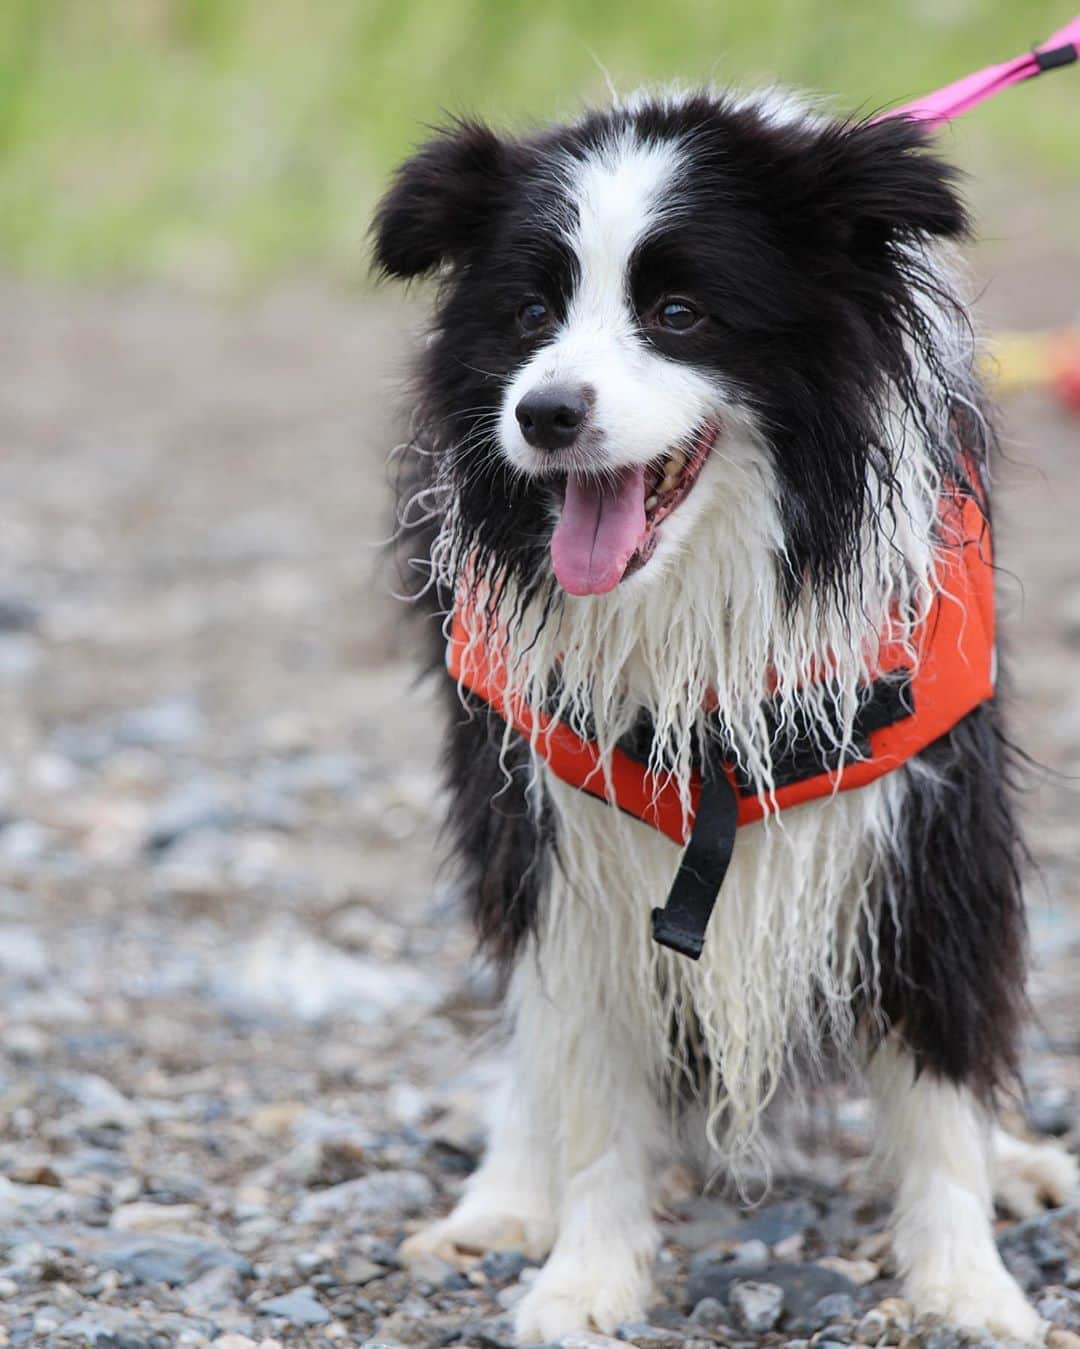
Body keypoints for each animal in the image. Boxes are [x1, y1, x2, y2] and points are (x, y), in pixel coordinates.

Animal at [369, 89, 1067, 1343]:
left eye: (679, 312)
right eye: (532, 312)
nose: (544, 412)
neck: (704, 596)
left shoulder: (929, 812)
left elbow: (940, 1078)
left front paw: (968, 1283)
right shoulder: (566, 820)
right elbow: (590, 1076)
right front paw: (584, 1278)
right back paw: (503, 1196)